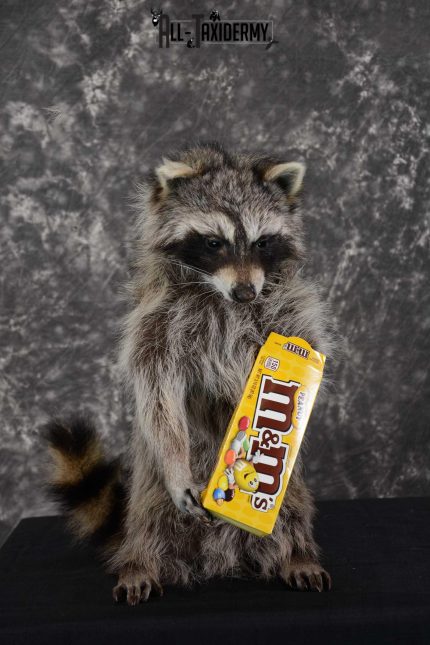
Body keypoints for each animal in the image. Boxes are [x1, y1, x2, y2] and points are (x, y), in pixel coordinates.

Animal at [45, 142, 332, 605]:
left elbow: (307, 353)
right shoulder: (155, 320)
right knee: (147, 518)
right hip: (149, 485)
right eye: (214, 242)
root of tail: (220, 557)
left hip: (292, 495)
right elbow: (158, 392)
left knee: (292, 511)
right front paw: (178, 462)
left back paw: (297, 554)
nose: (246, 292)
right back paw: (139, 564)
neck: (221, 296)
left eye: (262, 241)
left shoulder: (291, 310)